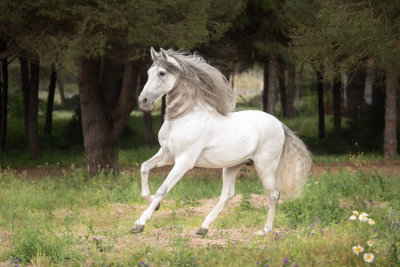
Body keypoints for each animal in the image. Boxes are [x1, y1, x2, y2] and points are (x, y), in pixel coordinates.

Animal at [131, 48, 312, 237]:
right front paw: (155, 205)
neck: (184, 117)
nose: (143, 101)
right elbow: (144, 168)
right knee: (227, 194)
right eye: (148, 73)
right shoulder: (167, 155)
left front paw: (139, 223)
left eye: (162, 73)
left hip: (265, 167)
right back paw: (203, 228)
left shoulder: (184, 161)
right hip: (232, 166)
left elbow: (163, 189)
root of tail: (279, 124)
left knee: (274, 195)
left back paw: (265, 231)